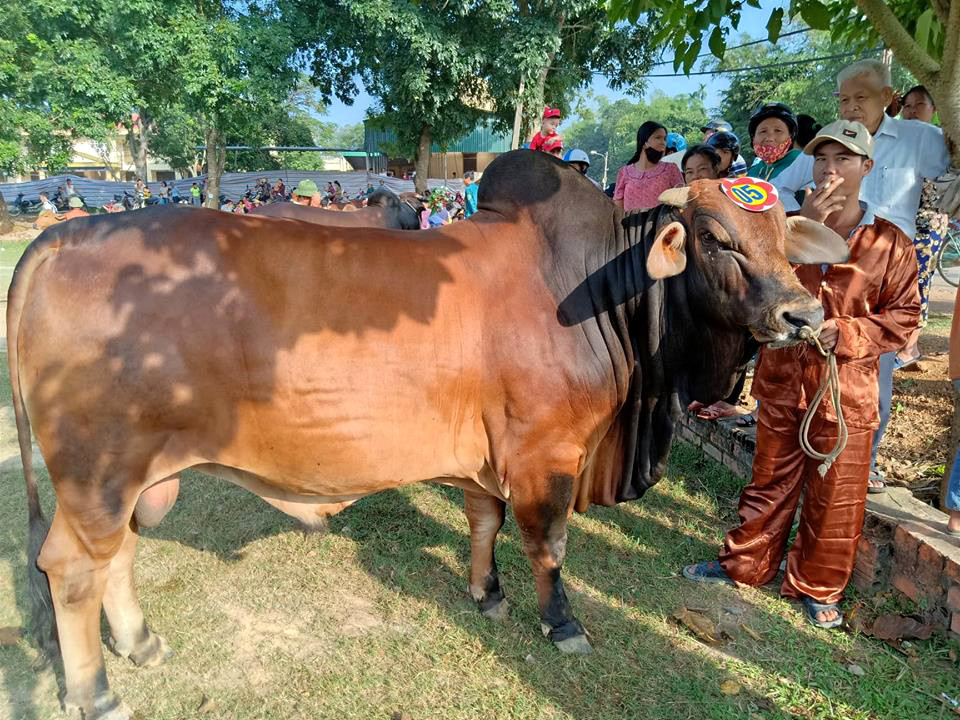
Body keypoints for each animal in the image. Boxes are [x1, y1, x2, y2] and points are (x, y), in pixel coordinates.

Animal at [11, 149, 844, 716]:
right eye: (715, 236)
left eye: (782, 235)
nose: (803, 315)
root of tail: (61, 238)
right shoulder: (548, 453)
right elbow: (550, 544)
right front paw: (561, 622)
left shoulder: (487, 457)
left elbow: (485, 521)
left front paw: (487, 592)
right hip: (97, 470)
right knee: (71, 570)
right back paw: (95, 690)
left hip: (127, 478)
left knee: (116, 556)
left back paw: (140, 642)